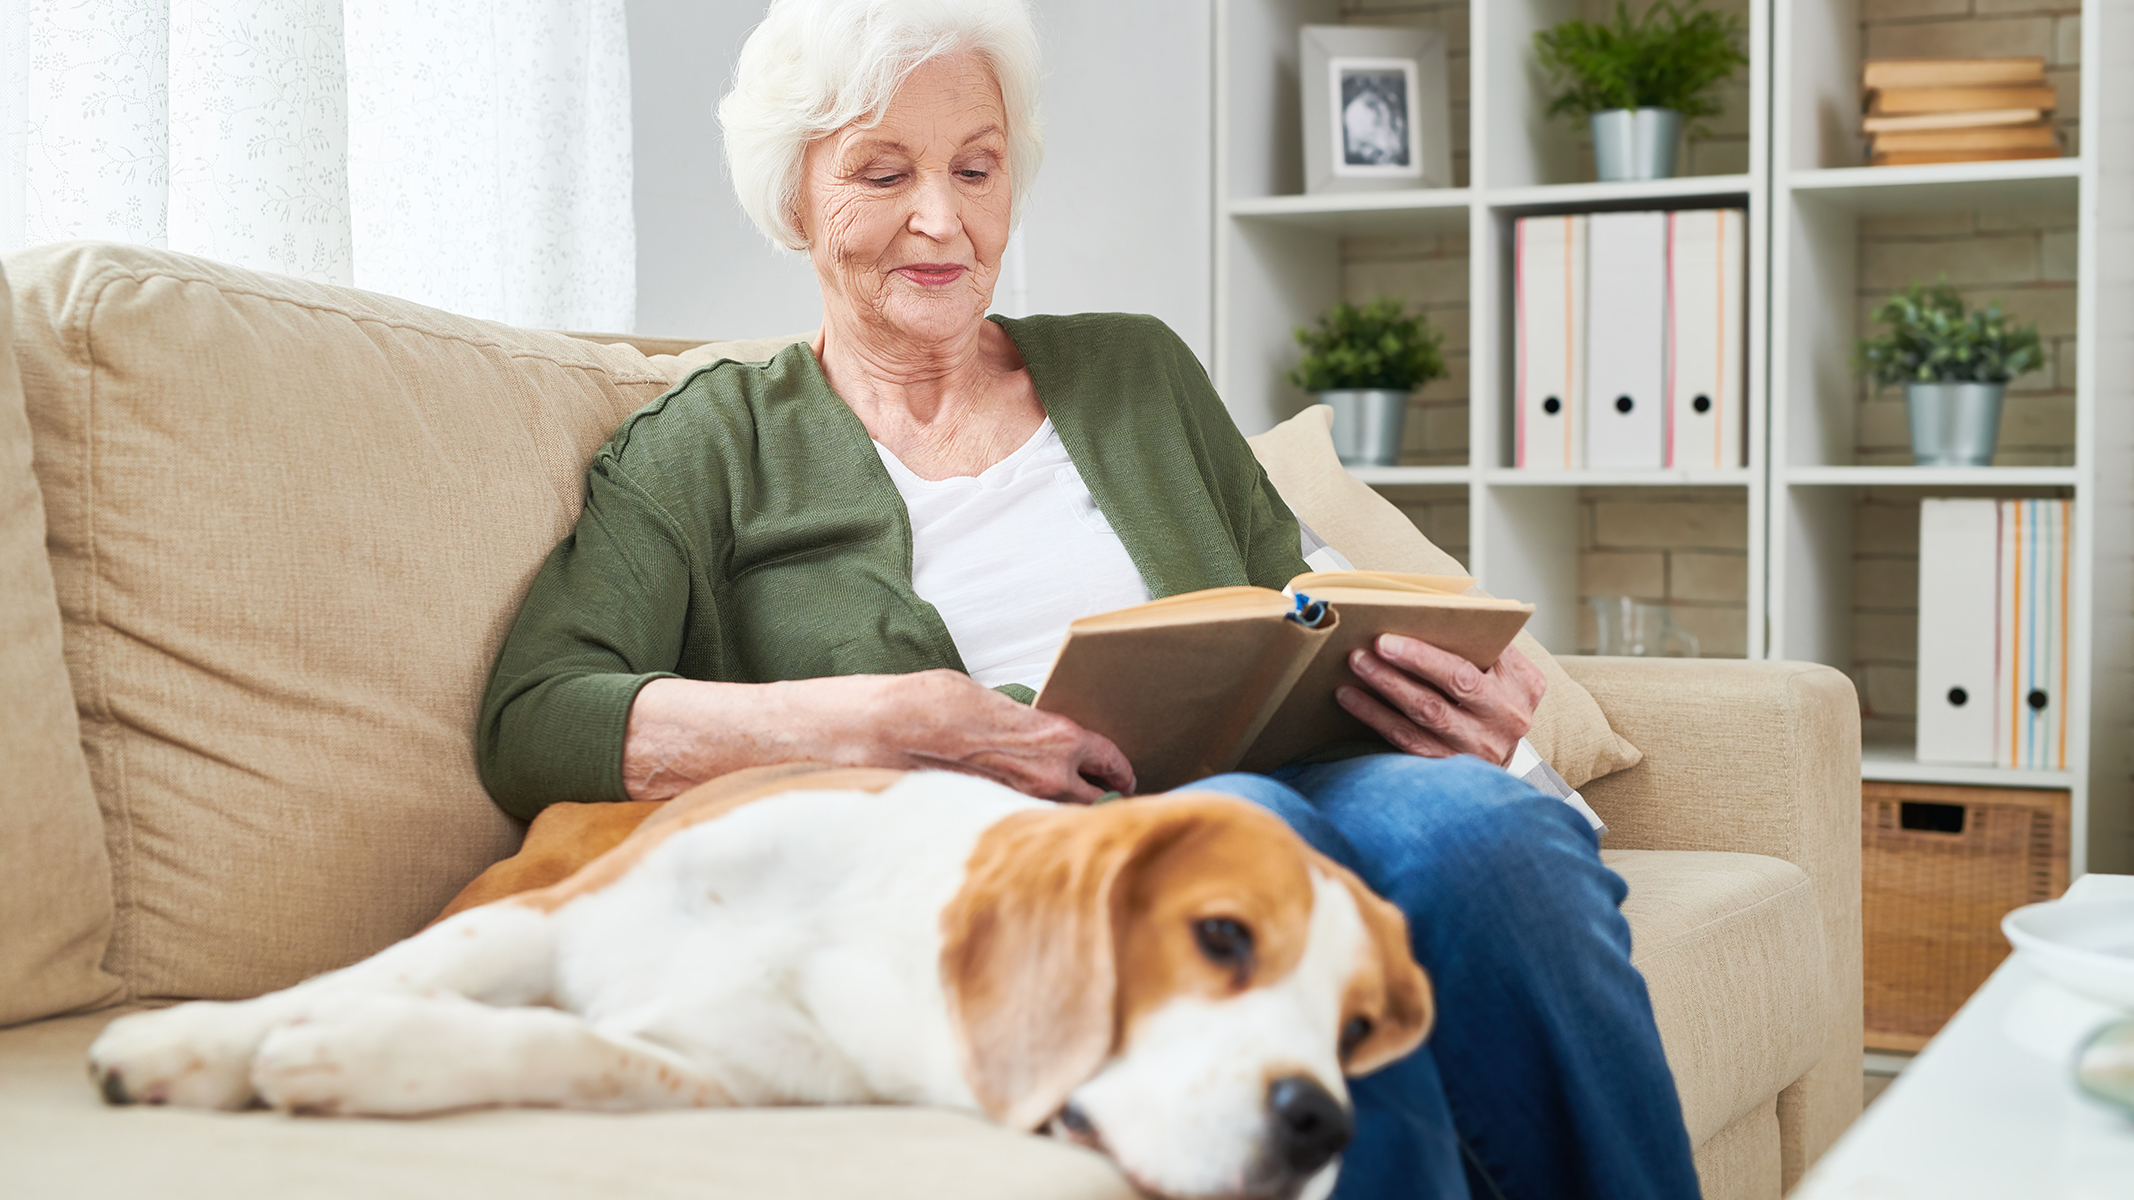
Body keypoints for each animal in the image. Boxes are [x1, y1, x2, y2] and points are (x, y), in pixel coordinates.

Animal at [96, 764, 1434, 1195]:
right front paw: (188, 1046)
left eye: (1355, 1029)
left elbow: (554, 1046)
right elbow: (333, 985)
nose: (1321, 1126)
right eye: (1222, 938)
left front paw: (361, 1052)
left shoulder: (719, 1078)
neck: (874, 948)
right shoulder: (540, 926)